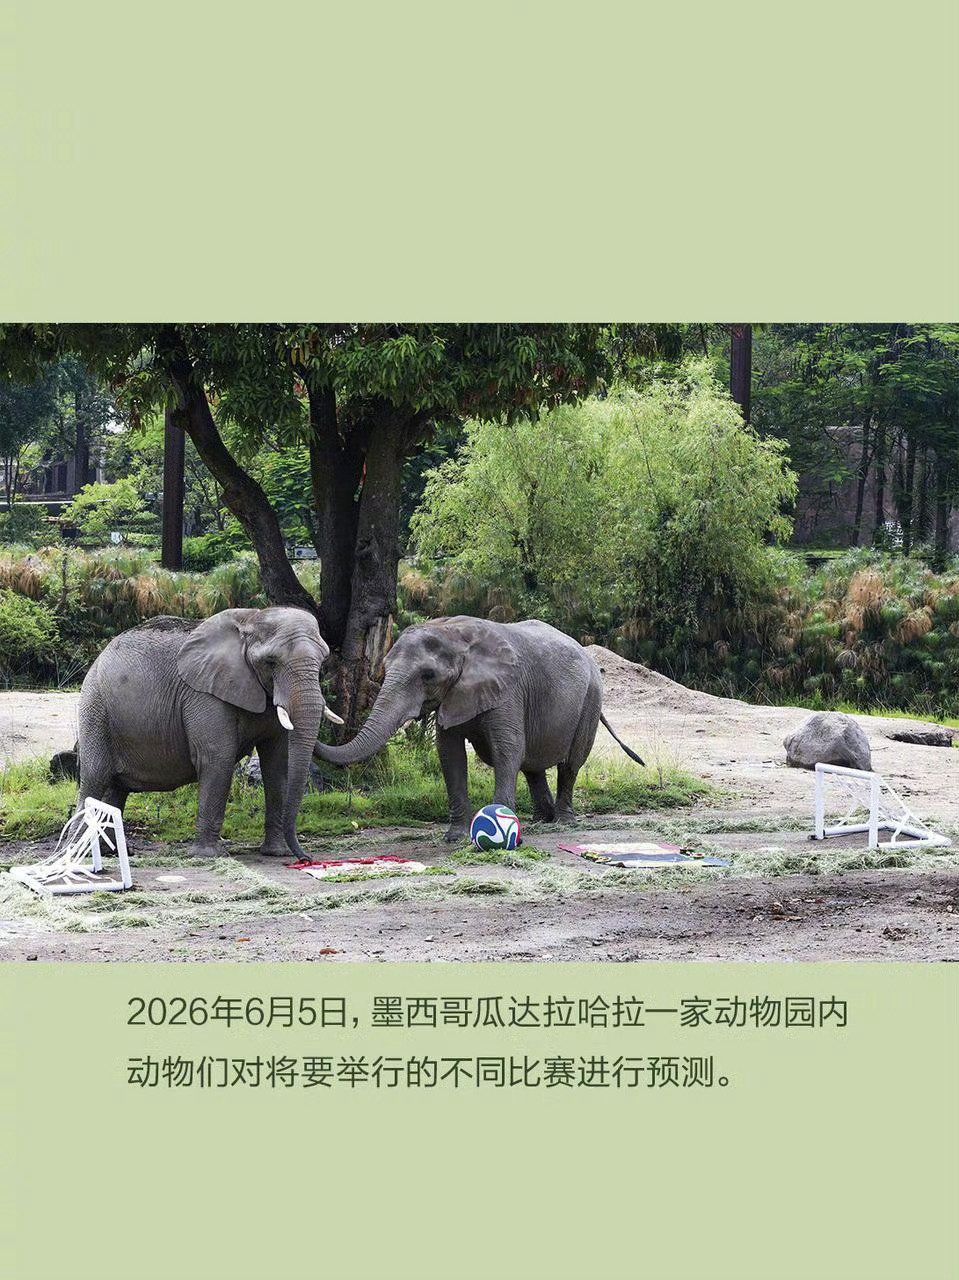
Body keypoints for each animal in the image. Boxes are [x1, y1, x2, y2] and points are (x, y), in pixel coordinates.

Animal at [75, 607, 342, 858]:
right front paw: (209, 855)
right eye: (271, 662)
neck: (250, 620)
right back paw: (85, 854)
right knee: (95, 779)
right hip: (95, 709)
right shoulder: (203, 693)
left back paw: (110, 852)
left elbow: (278, 764)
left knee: (116, 789)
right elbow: (217, 758)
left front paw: (277, 852)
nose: (306, 858)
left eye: (322, 663)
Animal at [313, 616, 644, 841]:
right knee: (533, 767)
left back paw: (562, 822)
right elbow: (450, 755)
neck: (453, 633)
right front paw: (455, 837)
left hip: (591, 698)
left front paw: (501, 830)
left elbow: (507, 750)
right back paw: (541, 820)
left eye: (428, 675)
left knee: (570, 764)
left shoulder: (508, 689)